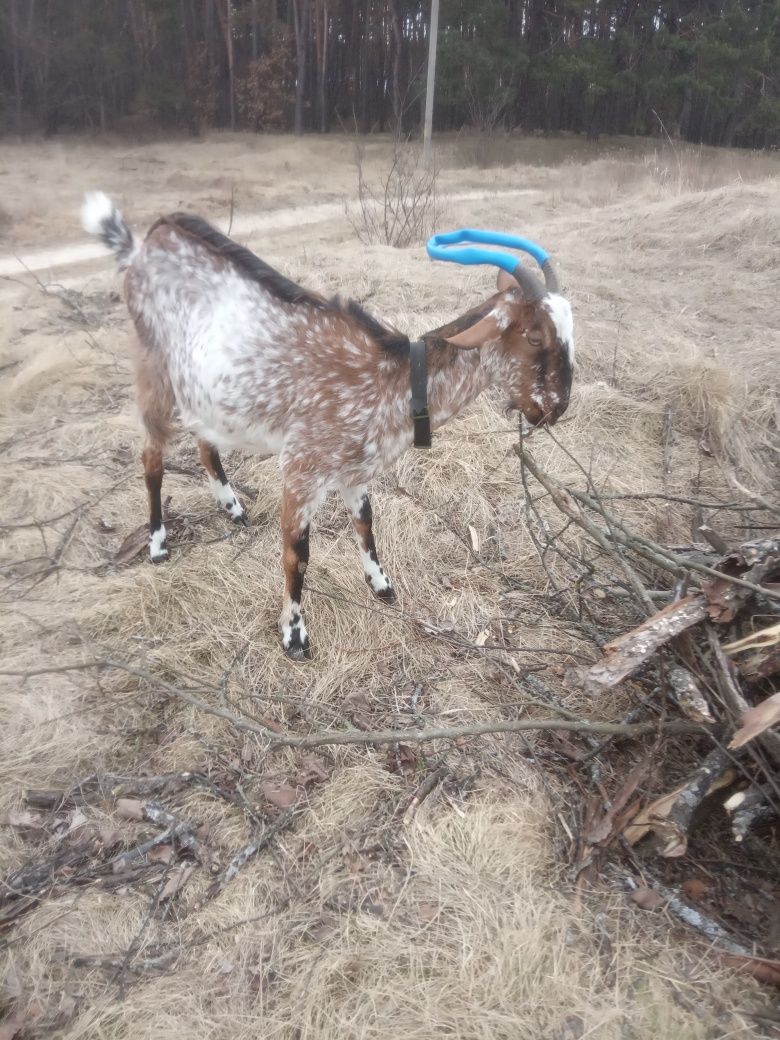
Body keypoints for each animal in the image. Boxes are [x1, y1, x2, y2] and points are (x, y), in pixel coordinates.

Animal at [84, 193, 574, 657]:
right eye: (534, 336)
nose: (556, 408)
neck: (393, 379)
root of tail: (141, 247)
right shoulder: (301, 470)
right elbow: (296, 554)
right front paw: (294, 635)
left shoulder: (355, 471)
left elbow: (366, 525)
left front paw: (381, 585)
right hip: (153, 368)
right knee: (151, 456)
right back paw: (157, 543)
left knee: (206, 441)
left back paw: (232, 507)